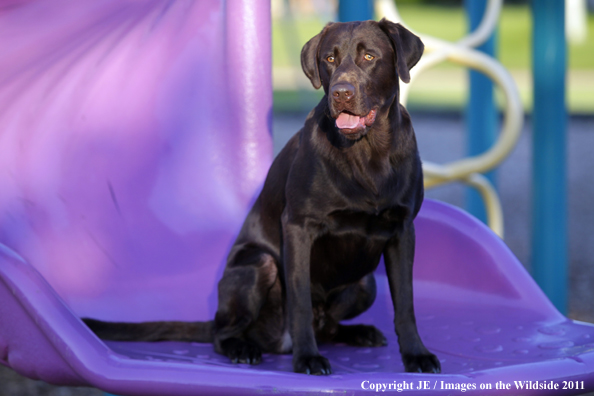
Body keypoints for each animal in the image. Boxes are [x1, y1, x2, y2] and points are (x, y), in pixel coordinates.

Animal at [86, 18, 440, 376]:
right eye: (329, 59)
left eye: (369, 57)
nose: (341, 92)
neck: (368, 153)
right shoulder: (298, 227)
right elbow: (299, 299)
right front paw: (307, 358)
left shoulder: (402, 230)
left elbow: (405, 303)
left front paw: (416, 354)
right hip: (259, 265)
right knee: (224, 333)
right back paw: (244, 347)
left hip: (366, 284)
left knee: (329, 327)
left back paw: (360, 333)